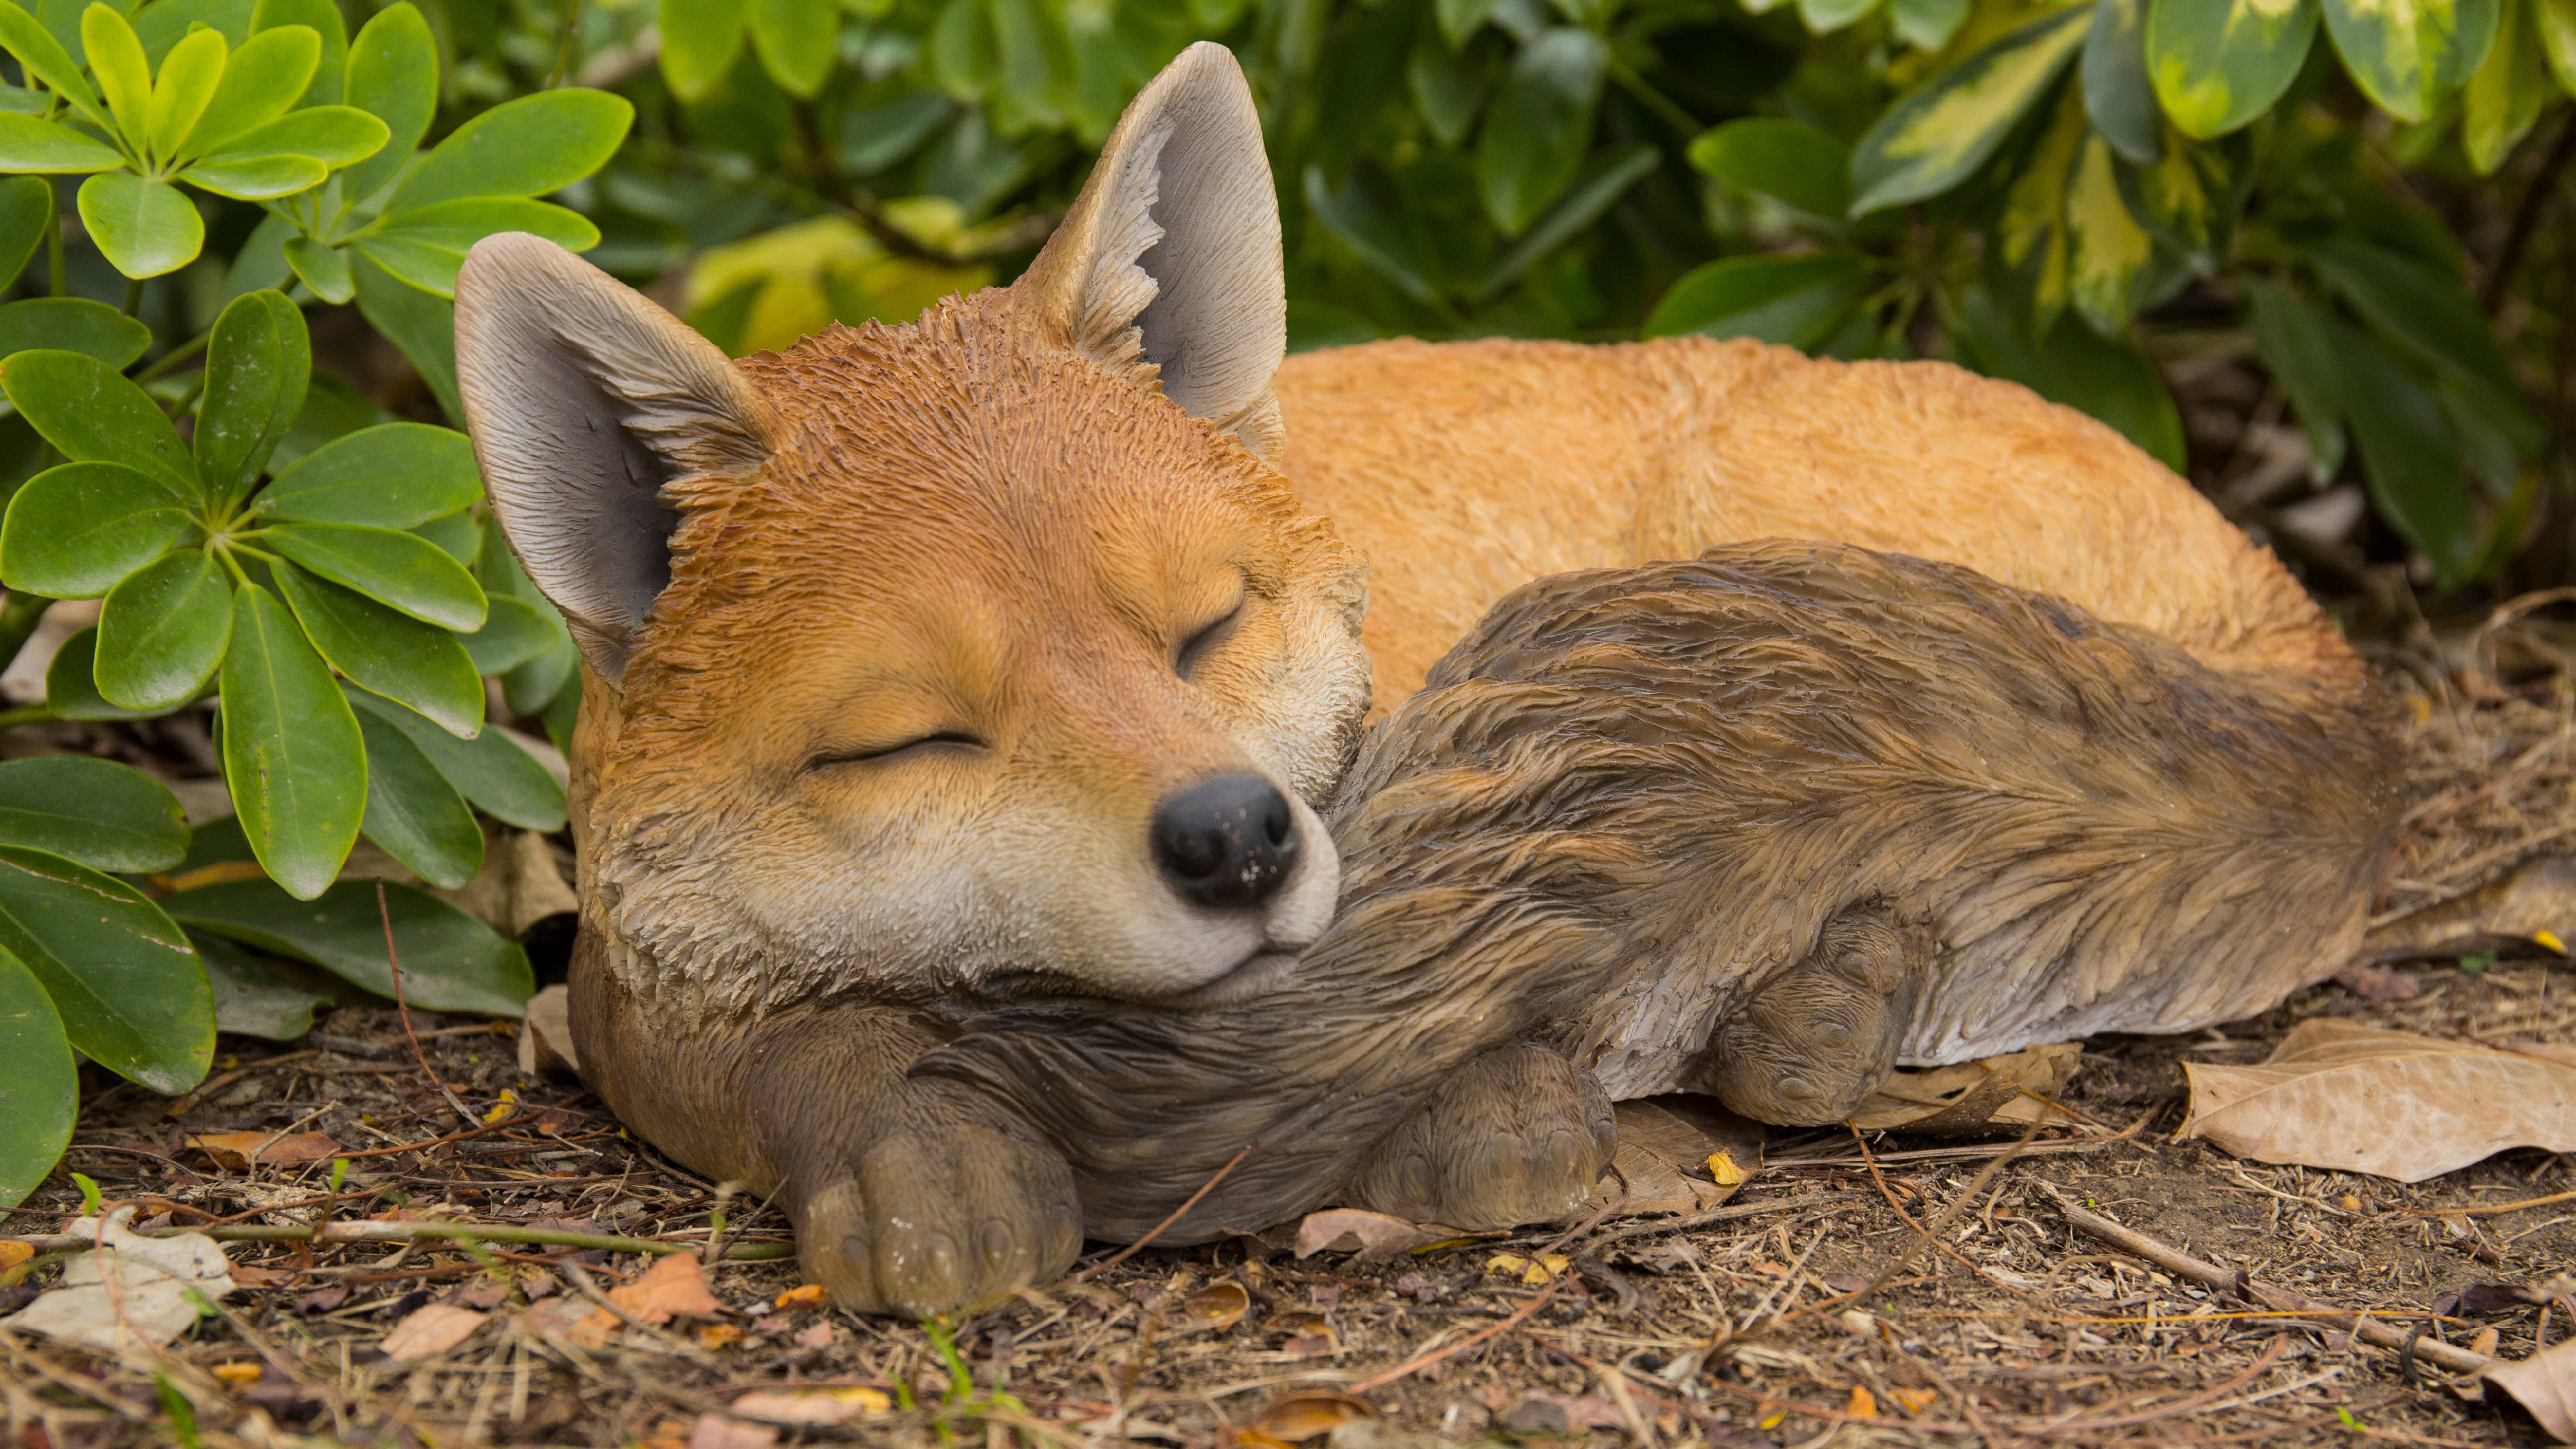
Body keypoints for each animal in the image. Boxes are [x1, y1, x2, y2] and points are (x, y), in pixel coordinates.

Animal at [452, 42, 2457, 1315]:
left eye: (1204, 628)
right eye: (909, 736)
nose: (1237, 840)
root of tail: (2285, 607)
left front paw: (1485, 1117)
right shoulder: (633, 991)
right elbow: (814, 1060)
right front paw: (920, 1158)